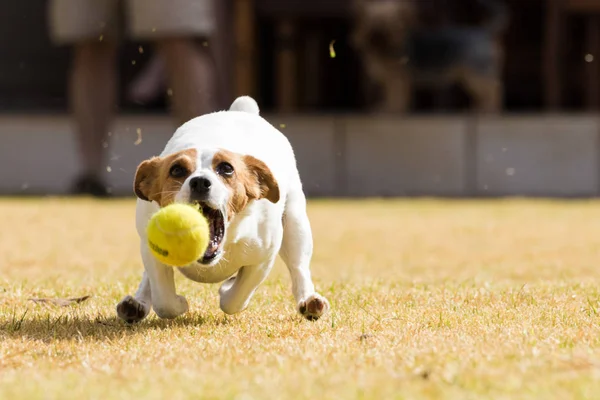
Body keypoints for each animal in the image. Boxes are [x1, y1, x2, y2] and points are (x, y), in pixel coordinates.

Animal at [115, 96, 330, 322]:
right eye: (177, 170)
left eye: (227, 168)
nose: (200, 182)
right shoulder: (151, 250)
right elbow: (163, 300)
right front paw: (178, 304)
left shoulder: (263, 258)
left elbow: (235, 299)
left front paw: (227, 289)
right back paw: (136, 303)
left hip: (296, 226)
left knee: (299, 267)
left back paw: (309, 300)